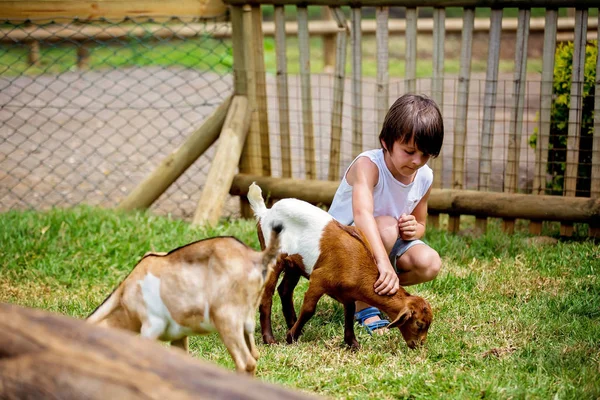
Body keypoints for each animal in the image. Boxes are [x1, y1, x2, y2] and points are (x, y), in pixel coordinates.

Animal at [87, 225, 284, 376]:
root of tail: (257, 258)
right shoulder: (179, 335)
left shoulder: (152, 324)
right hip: (246, 323)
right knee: (254, 355)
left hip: (227, 320)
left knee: (246, 362)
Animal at [246, 184, 434, 350]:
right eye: (419, 324)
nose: (419, 345)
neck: (357, 266)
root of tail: (265, 213)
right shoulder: (319, 279)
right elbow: (309, 309)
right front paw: (290, 337)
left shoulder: (348, 294)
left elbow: (349, 314)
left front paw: (353, 344)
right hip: (273, 255)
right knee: (267, 295)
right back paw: (270, 339)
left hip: (294, 264)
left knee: (284, 290)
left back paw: (291, 325)